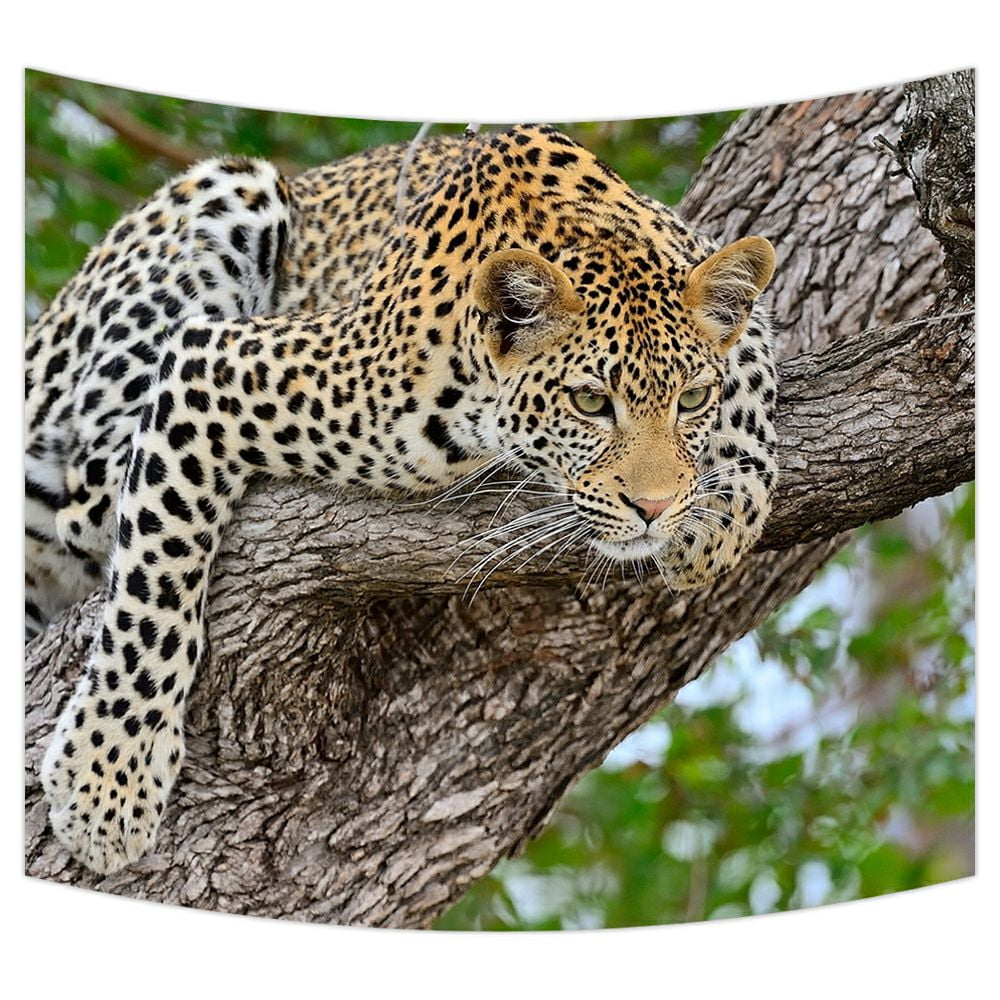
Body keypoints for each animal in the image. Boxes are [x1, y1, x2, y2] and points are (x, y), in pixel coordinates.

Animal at [25, 124, 779, 875]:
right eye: (590, 403)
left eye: (692, 400)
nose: (654, 509)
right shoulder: (214, 369)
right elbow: (153, 593)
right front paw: (108, 779)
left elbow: (753, 358)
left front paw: (722, 508)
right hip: (226, 195)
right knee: (90, 498)